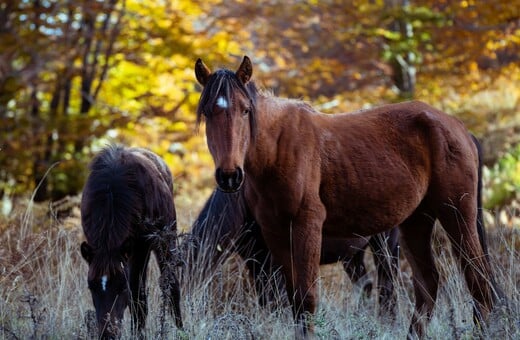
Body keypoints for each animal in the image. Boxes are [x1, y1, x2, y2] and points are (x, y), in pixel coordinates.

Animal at [78, 145, 182, 338]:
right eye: (91, 286)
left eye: (121, 287)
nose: (108, 334)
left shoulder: (141, 247)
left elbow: (138, 299)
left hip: (166, 240)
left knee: (173, 287)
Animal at [195, 56, 500, 338]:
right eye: (208, 113)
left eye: (245, 110)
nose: (229, 176)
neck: (278, 150)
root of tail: (459, 128)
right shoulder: (275, 235)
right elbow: (293, 302)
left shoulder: (306, 227)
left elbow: (306, 299)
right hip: (416, 221)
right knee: (427, 283)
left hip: (455, 214)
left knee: (476, 277)